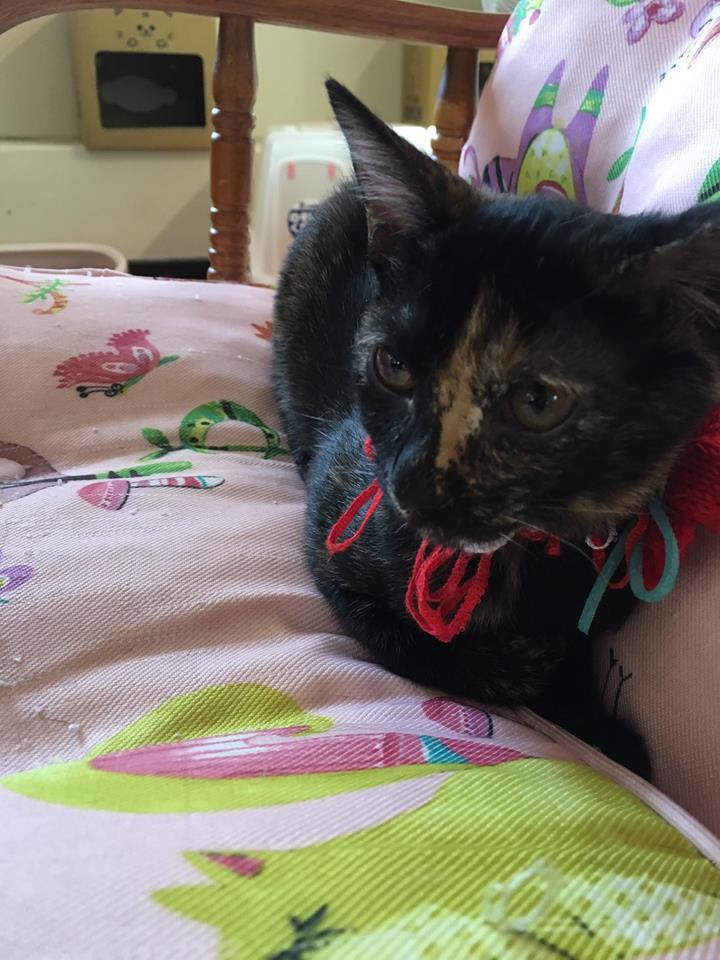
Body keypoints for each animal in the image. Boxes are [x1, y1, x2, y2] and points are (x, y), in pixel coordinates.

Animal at [272, 80, 720, 774]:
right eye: (393, 366)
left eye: (538, 401)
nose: (413, 483)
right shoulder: (331, 535)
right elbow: (442, 654)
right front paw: (570, 702)